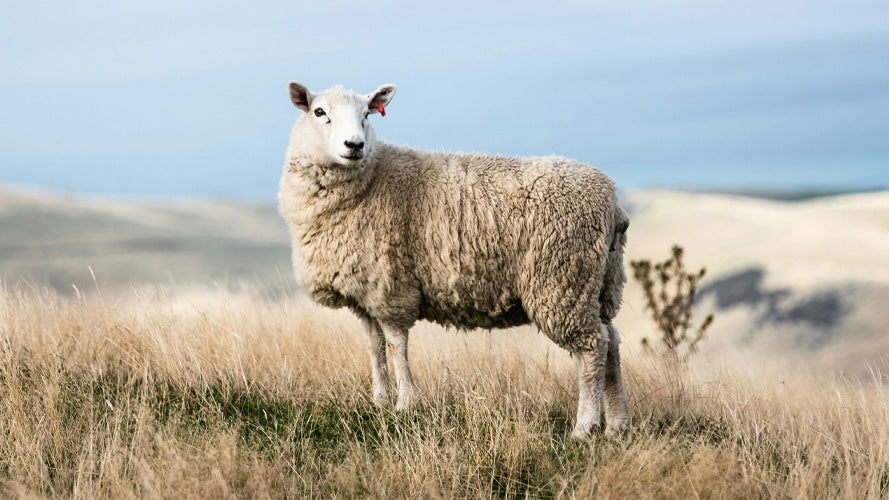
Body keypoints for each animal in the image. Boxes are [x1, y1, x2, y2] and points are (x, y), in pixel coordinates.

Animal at [278, 82, 632, 438]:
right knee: (611, 341)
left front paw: (406, 403)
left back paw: (585, 426)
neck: (372, 179)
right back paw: (617, 424)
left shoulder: (392, 288)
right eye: (319, 112)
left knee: (591, 347)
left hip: (562, 280)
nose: (355, 145)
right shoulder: (364, 293)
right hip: (599, 283)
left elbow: (395, 345)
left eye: (367, 114)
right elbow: (374, 346)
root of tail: (611, 201)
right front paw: (380, 401)